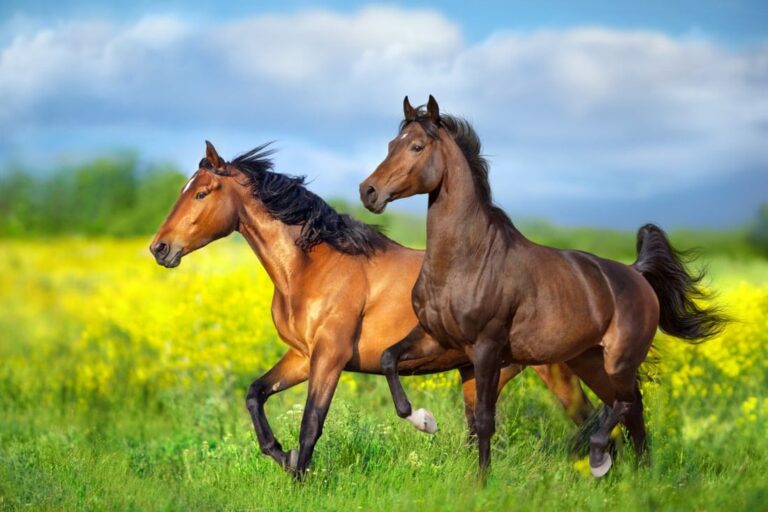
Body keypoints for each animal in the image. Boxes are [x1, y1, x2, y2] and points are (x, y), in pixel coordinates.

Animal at [150, 141, 596, 477]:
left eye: (201, 193)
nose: (160, 248)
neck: (312, 267)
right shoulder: (302, 356)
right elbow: (255, 395)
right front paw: (284, 456)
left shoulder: (330, 357)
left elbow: (311, 423)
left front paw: (299, 478)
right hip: (483, 371)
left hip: (550, 368)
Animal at [359, 96, 725, 478]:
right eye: (391, 144)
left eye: (416, 146)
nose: (368, 191)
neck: (467, 259)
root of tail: (636, 274)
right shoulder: (435, 336)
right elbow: (389, 360)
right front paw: (424, 420)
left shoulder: (486, 348)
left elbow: (484, 421)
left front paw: (481, 481)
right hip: (590, 362)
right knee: (630, 410)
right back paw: (637, 474)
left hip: (619, 361)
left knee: (627, 403)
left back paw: (601, 459)